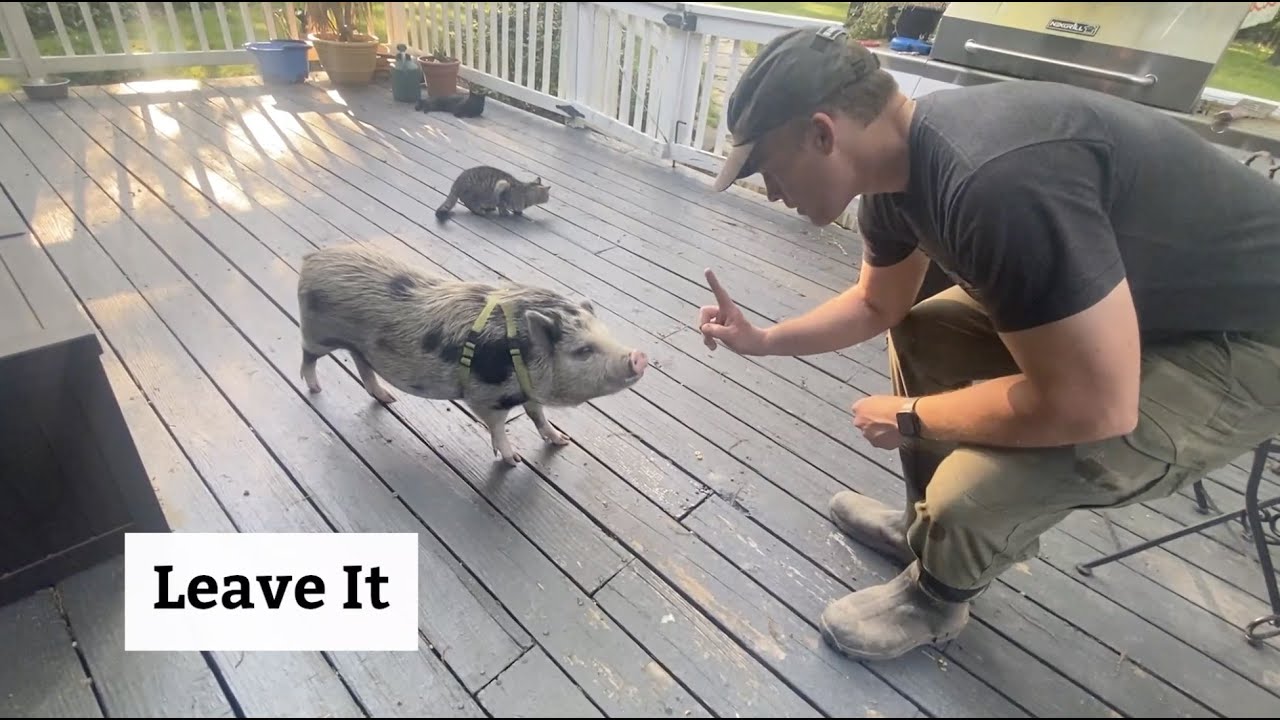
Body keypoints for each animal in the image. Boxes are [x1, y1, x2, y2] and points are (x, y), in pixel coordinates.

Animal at [296, 245, 648, 465]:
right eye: (583, 351)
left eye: (607, 335)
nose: (638, 356)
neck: (520, 354)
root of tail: (312, 258)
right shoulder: (486, 398)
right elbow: (498, 428)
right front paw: (514, 460)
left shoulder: (528, 392)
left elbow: (538, 416)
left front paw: (562, 440)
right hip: (317, 334)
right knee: (307, 359)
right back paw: (315, 388)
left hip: (358, 346)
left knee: (362, 364)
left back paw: (388, 398)